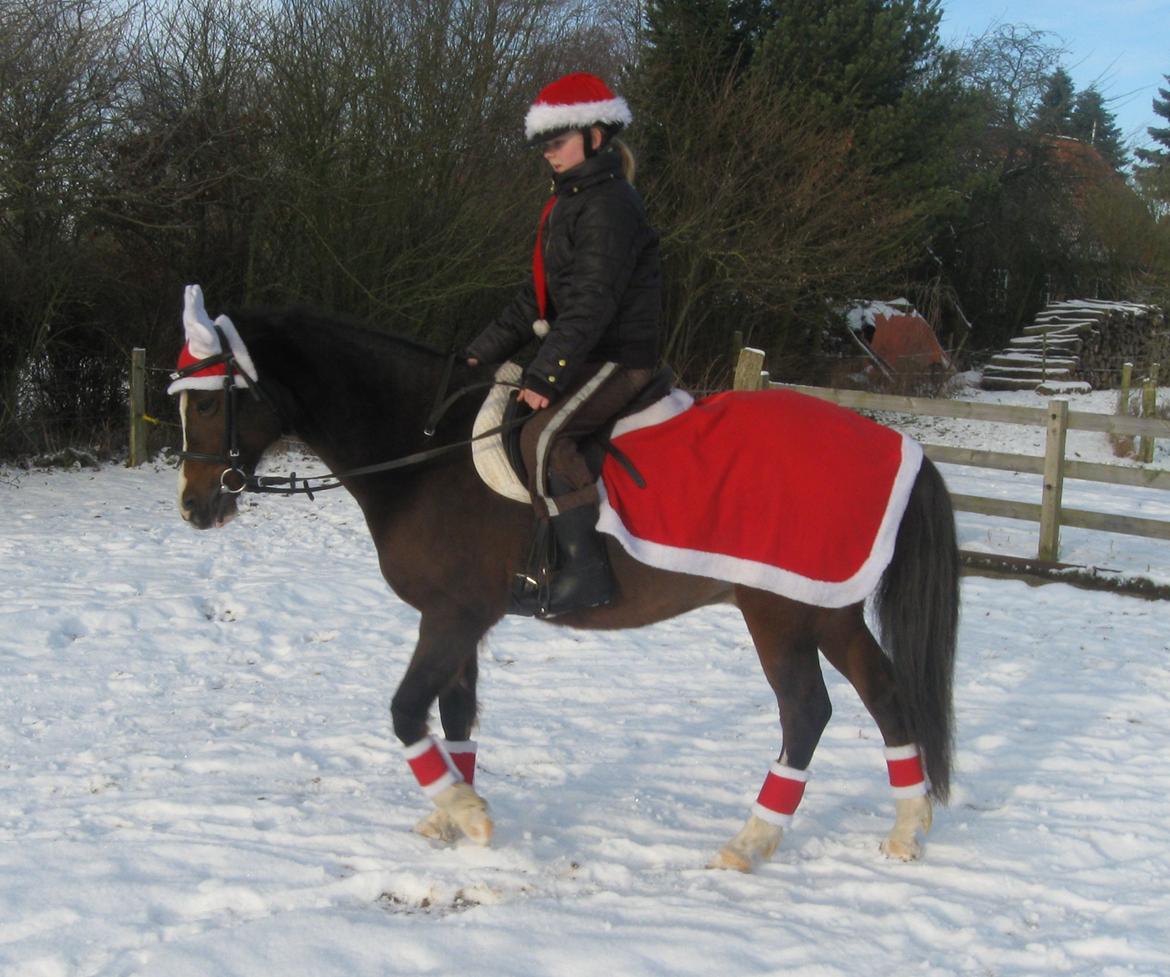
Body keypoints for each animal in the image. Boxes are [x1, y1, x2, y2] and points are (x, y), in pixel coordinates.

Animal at [173, 289, 959, 870]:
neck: (427, 454)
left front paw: (466, 814)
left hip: (779, 612)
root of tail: (896, 442)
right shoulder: (458, 621)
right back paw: (907, 828)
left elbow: (405, 711)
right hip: (827, 607)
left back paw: (750, 841)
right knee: (885, 694)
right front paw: (453, 812)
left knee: (805, 712)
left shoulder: (454, 616)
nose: (194, 505)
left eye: (208, 401)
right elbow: (455, 715)